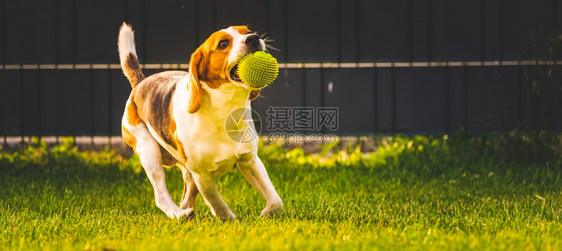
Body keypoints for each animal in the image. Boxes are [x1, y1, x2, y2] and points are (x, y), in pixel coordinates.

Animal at [119, 23, 284, 220]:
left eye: (248, 31)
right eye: (223, 44)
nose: (254, 38)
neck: (224, 110)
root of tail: (139, 84)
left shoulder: (250, 161)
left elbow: (277, 201)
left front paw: (267, 213)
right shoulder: (202, 175)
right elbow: (216, 200)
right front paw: (228, 218)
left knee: (186, 194)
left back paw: (186, 210)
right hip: (148, 151)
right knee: (160, 194)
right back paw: (178, 214)